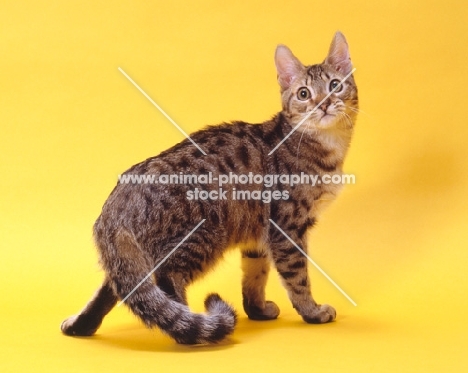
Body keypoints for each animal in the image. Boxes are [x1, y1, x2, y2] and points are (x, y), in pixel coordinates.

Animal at [61, 31, 358, 342]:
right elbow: (297, 277)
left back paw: (81, 325)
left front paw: (257, 309)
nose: (324, 104)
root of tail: (116, 205)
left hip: (133, 257)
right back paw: (189, 327)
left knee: (119, 286)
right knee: (167, 278)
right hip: (205, 235)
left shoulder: (259, 231)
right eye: (303, 93)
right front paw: (312, 311)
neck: (325, 144)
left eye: (335, 86)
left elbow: (255, 273)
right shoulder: (287, 228)